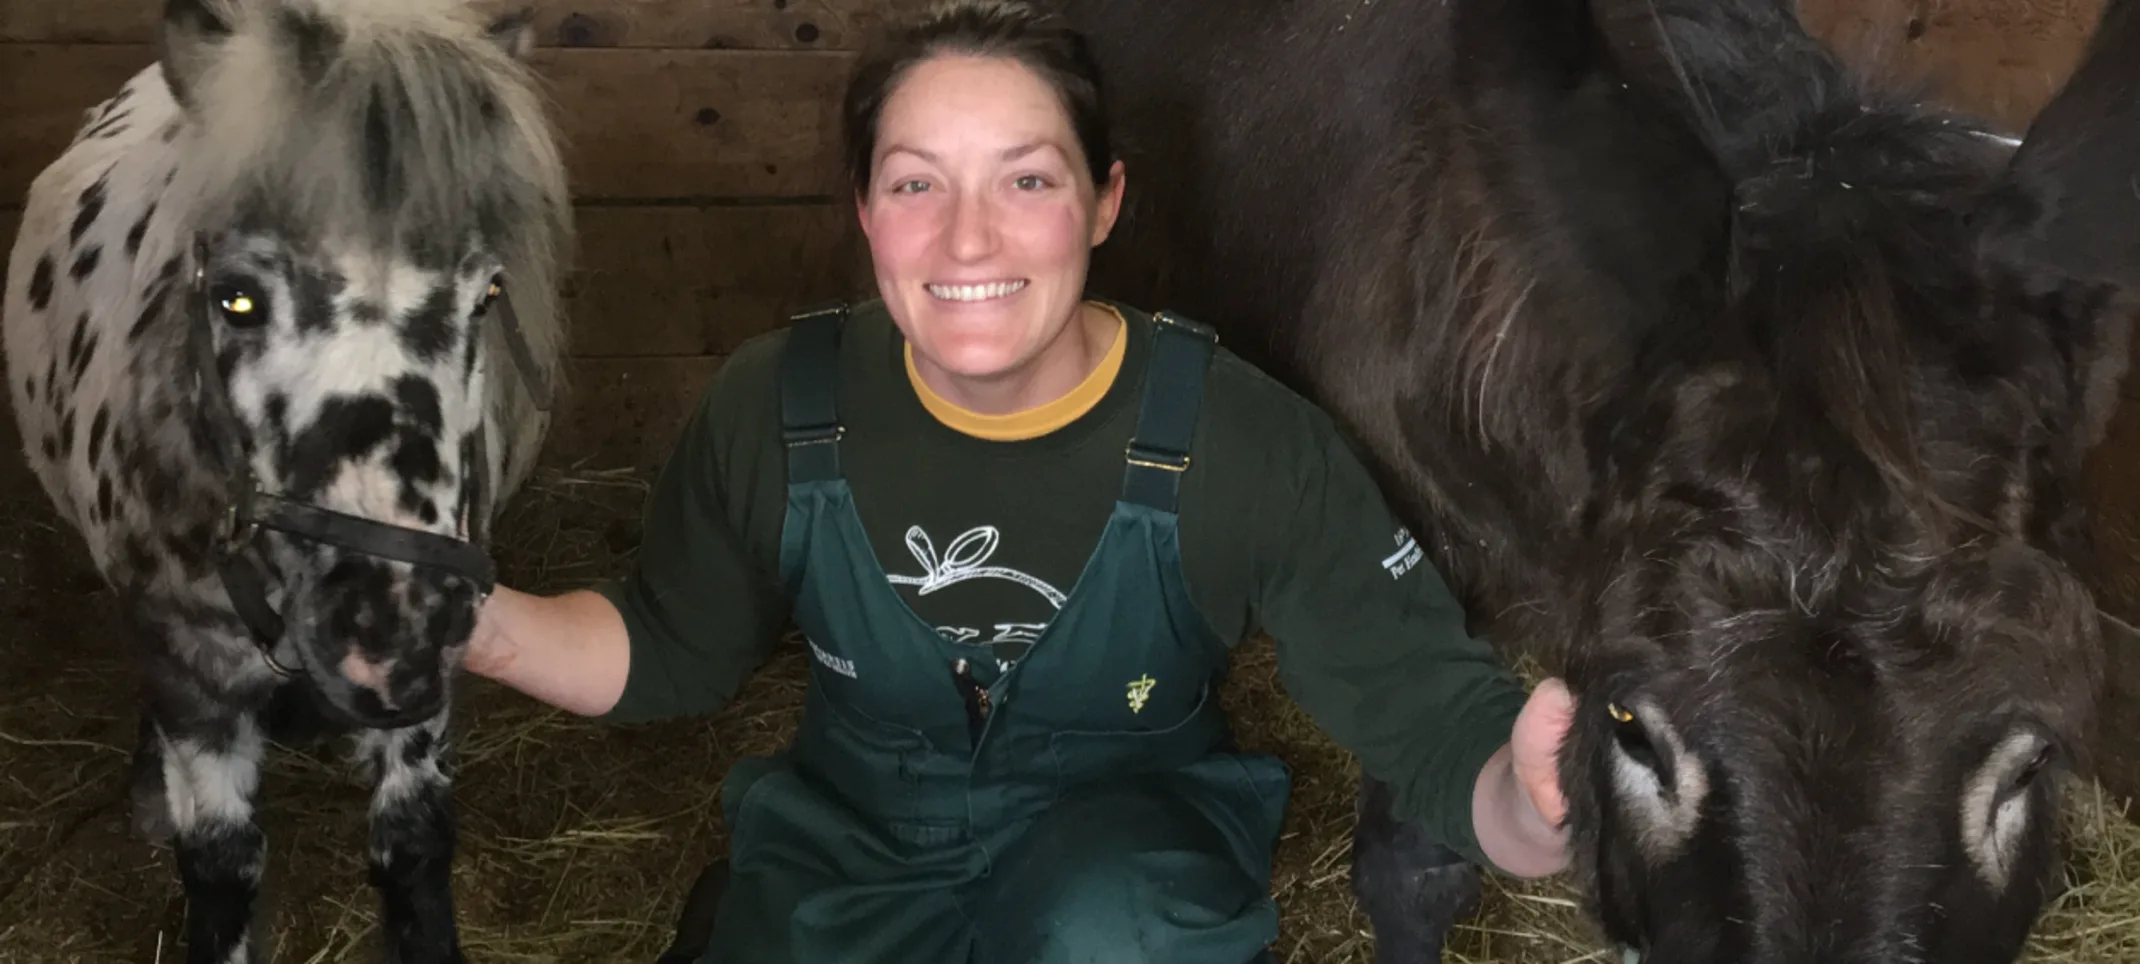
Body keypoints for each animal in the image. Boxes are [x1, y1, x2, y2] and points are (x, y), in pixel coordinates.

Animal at [2, 3, 569, 959]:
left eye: (488, 294)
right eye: (235, 297)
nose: (387, 630)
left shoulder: (430, 689)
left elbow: (414, 846)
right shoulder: (189, 670)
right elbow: (221, 866)